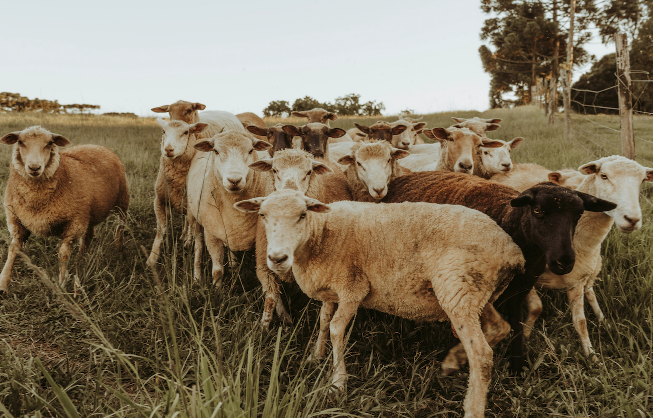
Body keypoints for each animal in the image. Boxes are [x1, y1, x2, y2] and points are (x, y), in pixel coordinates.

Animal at [0, 125, 129, 292]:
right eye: (20, 142)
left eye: (49, 143)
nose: (34, 167)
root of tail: (98, 146)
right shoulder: (16, 220)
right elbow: (13, 249)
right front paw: (3, 283)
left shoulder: (73, 222)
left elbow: (63, 254)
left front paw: (61, 284)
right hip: (88, 211)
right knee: (89, 235)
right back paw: (82, 257)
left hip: (122, 201)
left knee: (120, 226)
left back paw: (119, 247)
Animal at [234, 189, 524, 418]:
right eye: (262, 215)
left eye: (303, 215)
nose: (277, 258)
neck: (322, 233)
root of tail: (512, 250)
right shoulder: (331, 290)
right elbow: (324, 321)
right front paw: (316, 357)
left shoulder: (352, 288)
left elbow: (337, 329)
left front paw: (338, 383)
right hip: (474, 293)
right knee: (500, 327)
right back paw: (454, 361)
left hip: (458, 287)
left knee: (482, 355)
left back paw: (472, 407)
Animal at [248, 149, 352, 328]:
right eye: (274, 170)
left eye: (309, 172)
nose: (289, 192)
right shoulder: (263, 266)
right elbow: (271, 298)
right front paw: (266, 328)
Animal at [380, 173, 612, 372]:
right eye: (537, 211)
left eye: (578, 214)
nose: (564, 262)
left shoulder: (521, 289)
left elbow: (517, 326)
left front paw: (518, 367)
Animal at [524, 155, 652, 358]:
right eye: (604, 175)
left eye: (641, 181)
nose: (632, 219)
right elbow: (536, 307)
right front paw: (524, 339)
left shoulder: (577, 281)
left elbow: (581, 322)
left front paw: (592, 356)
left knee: (590, 290)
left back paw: (603, 320)